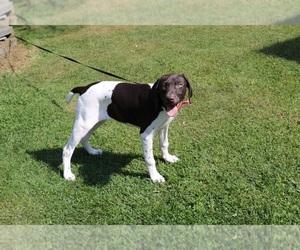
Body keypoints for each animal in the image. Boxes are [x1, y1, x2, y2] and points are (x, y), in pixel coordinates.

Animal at [62, 73, 193, 183]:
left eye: (179, 84)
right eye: (164, 86)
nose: (170, 99)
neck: (159, 102)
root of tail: (84, 88)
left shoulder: (163, 126)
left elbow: (164, 144)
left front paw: (167, 158)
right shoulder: (146, 135)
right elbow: (150, 159)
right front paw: (155, 176)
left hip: (95, 122)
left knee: (84, 139)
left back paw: (92, 151)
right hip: (83, 124)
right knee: (67, 149)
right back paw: (67, 174)